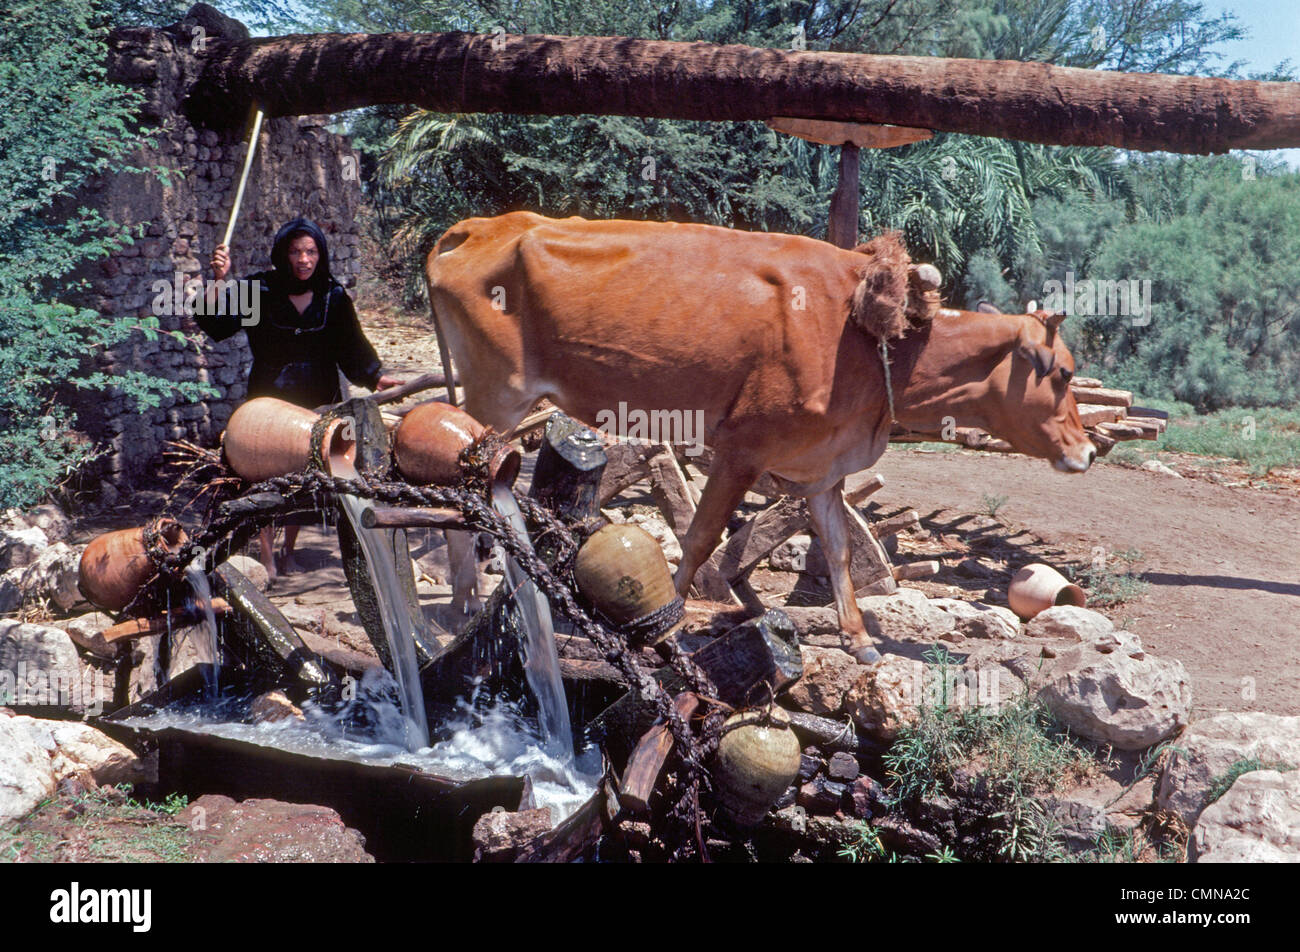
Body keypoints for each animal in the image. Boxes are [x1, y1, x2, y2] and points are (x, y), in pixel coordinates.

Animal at [423, 213, 1086, 660]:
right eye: (1062, 372)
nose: (1086, 450)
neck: (872, 342)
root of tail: (486, 224)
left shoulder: (824, 469)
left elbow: (839, 552)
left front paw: (858, 639)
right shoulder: (741, 448)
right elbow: (698, 538)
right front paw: (671, 619)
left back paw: (462, 595)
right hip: (497, 394)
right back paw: (466, 598)